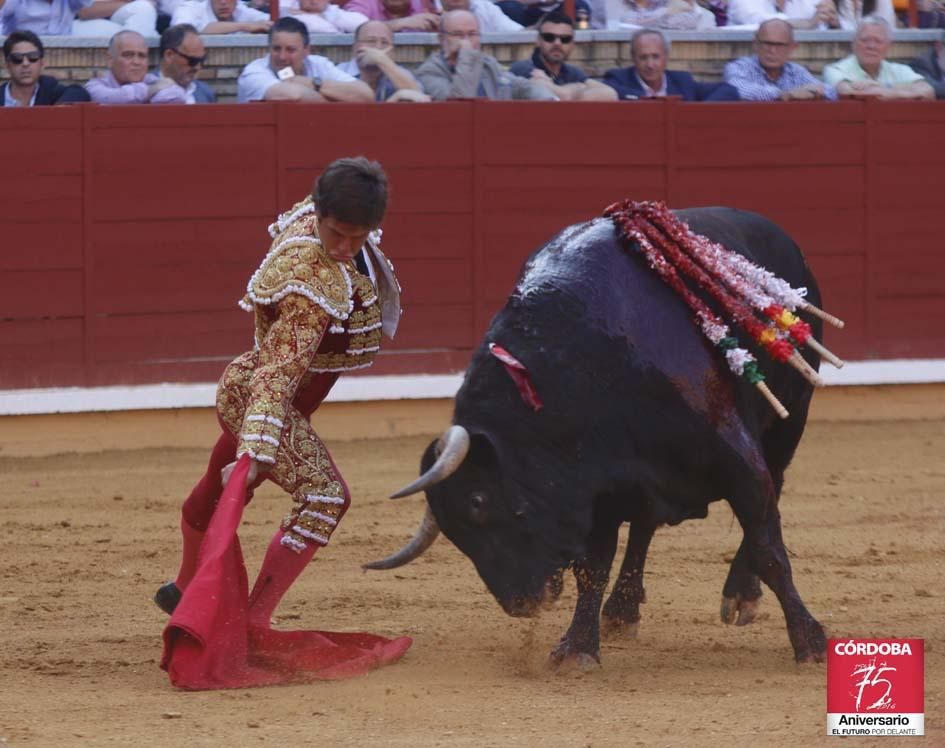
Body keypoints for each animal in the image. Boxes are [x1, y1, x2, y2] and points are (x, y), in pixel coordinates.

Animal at [366, 207, 824, 668]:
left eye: (477, 501)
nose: (521, 603)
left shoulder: (737, 460)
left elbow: (768, 546)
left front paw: (809, 641)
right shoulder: (599, 487)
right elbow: (594, 566)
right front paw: (578, 648)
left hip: (790, 419)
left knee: (772, 489)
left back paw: (741, 595)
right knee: (643, 528)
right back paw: (622, 609)